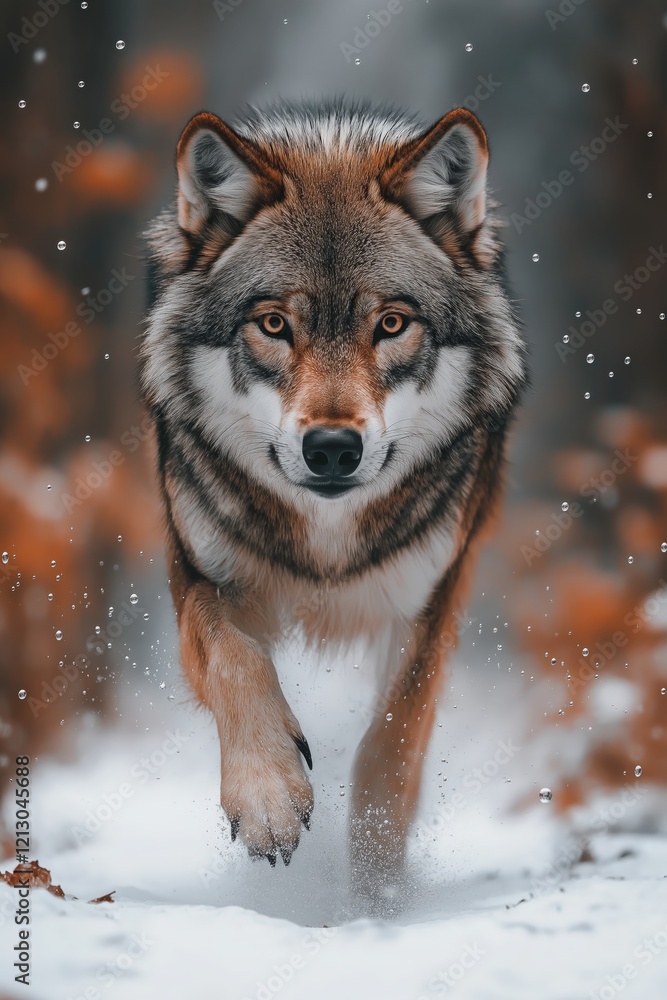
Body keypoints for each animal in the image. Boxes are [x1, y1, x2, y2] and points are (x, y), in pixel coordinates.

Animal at [141, 99, 526, 890]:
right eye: (273, 324)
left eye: (391, 323)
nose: (331, 449)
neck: (327, 540)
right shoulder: (198, 575)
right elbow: (236, 660)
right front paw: (268, 799)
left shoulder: (428, 605)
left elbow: (392, 747)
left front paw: (376, 892)